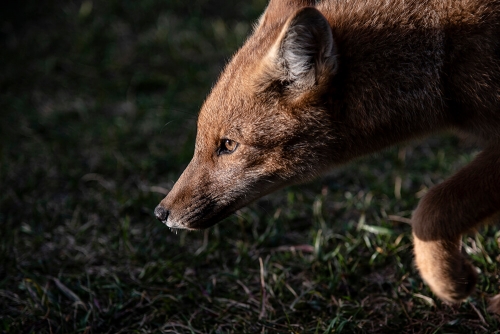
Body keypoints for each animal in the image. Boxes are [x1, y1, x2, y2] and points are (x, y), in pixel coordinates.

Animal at [154, 0, 498, 310]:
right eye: (201, 140)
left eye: (227, 145)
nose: (160, 212)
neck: (441, 57)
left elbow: (431, 209)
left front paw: (449, 280)